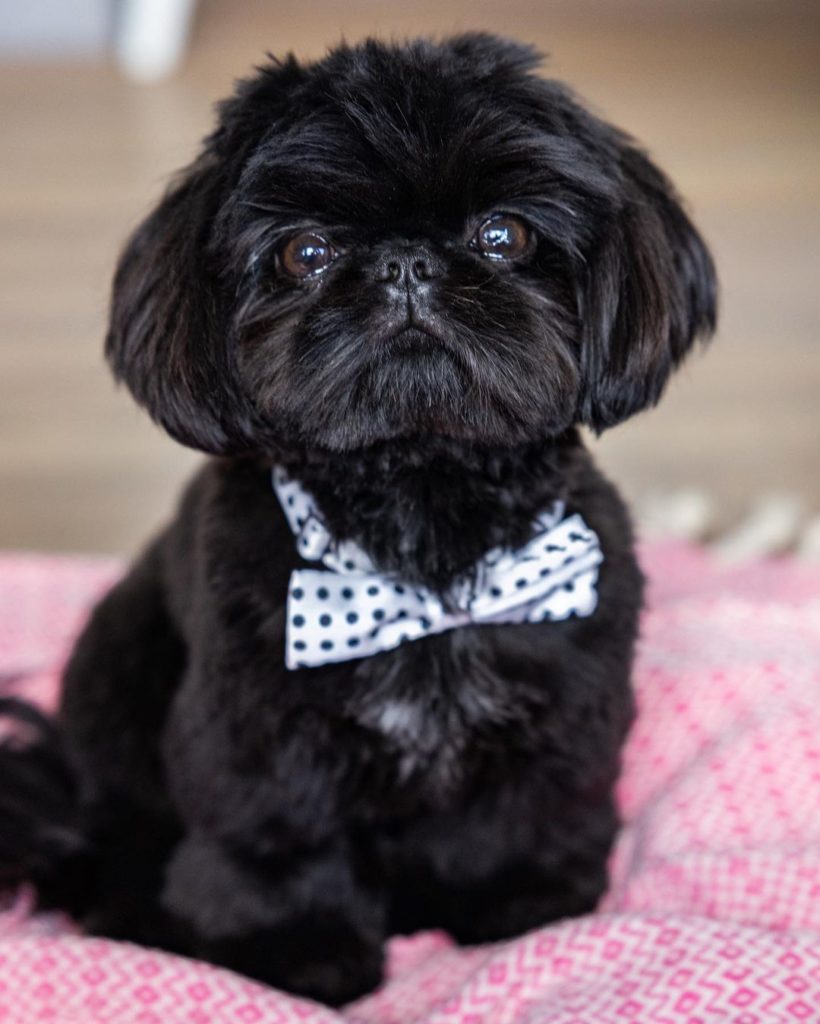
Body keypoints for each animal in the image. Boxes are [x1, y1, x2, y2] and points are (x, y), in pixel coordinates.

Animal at [0, 34, 712, 1007]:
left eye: (505, 235)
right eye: (305, 251)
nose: (406, 262)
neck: (421, 523)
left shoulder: (569, 698)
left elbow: (532, 810)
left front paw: (524, 907)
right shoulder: (257, 733)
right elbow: (280, 839)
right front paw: (297, 951)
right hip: (118, 682)